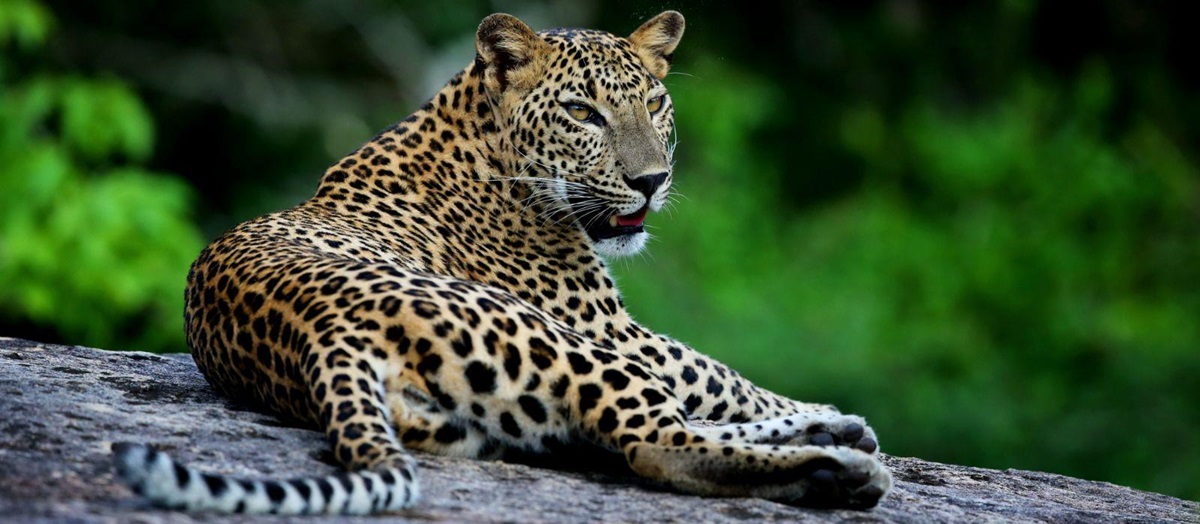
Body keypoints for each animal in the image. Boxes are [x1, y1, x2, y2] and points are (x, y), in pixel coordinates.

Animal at [113, 11, 892, 514]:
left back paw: (835, 443)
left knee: (624, 431)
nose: (652, 181)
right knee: (653, 439)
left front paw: (825, 414)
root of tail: (321, 336)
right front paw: (819, 410)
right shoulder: (608, 325)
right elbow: (716, 372)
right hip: (557, 341)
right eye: (583, 113)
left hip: (489, 420)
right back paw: (838, 470)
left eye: (654, 102)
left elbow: (711, 377)